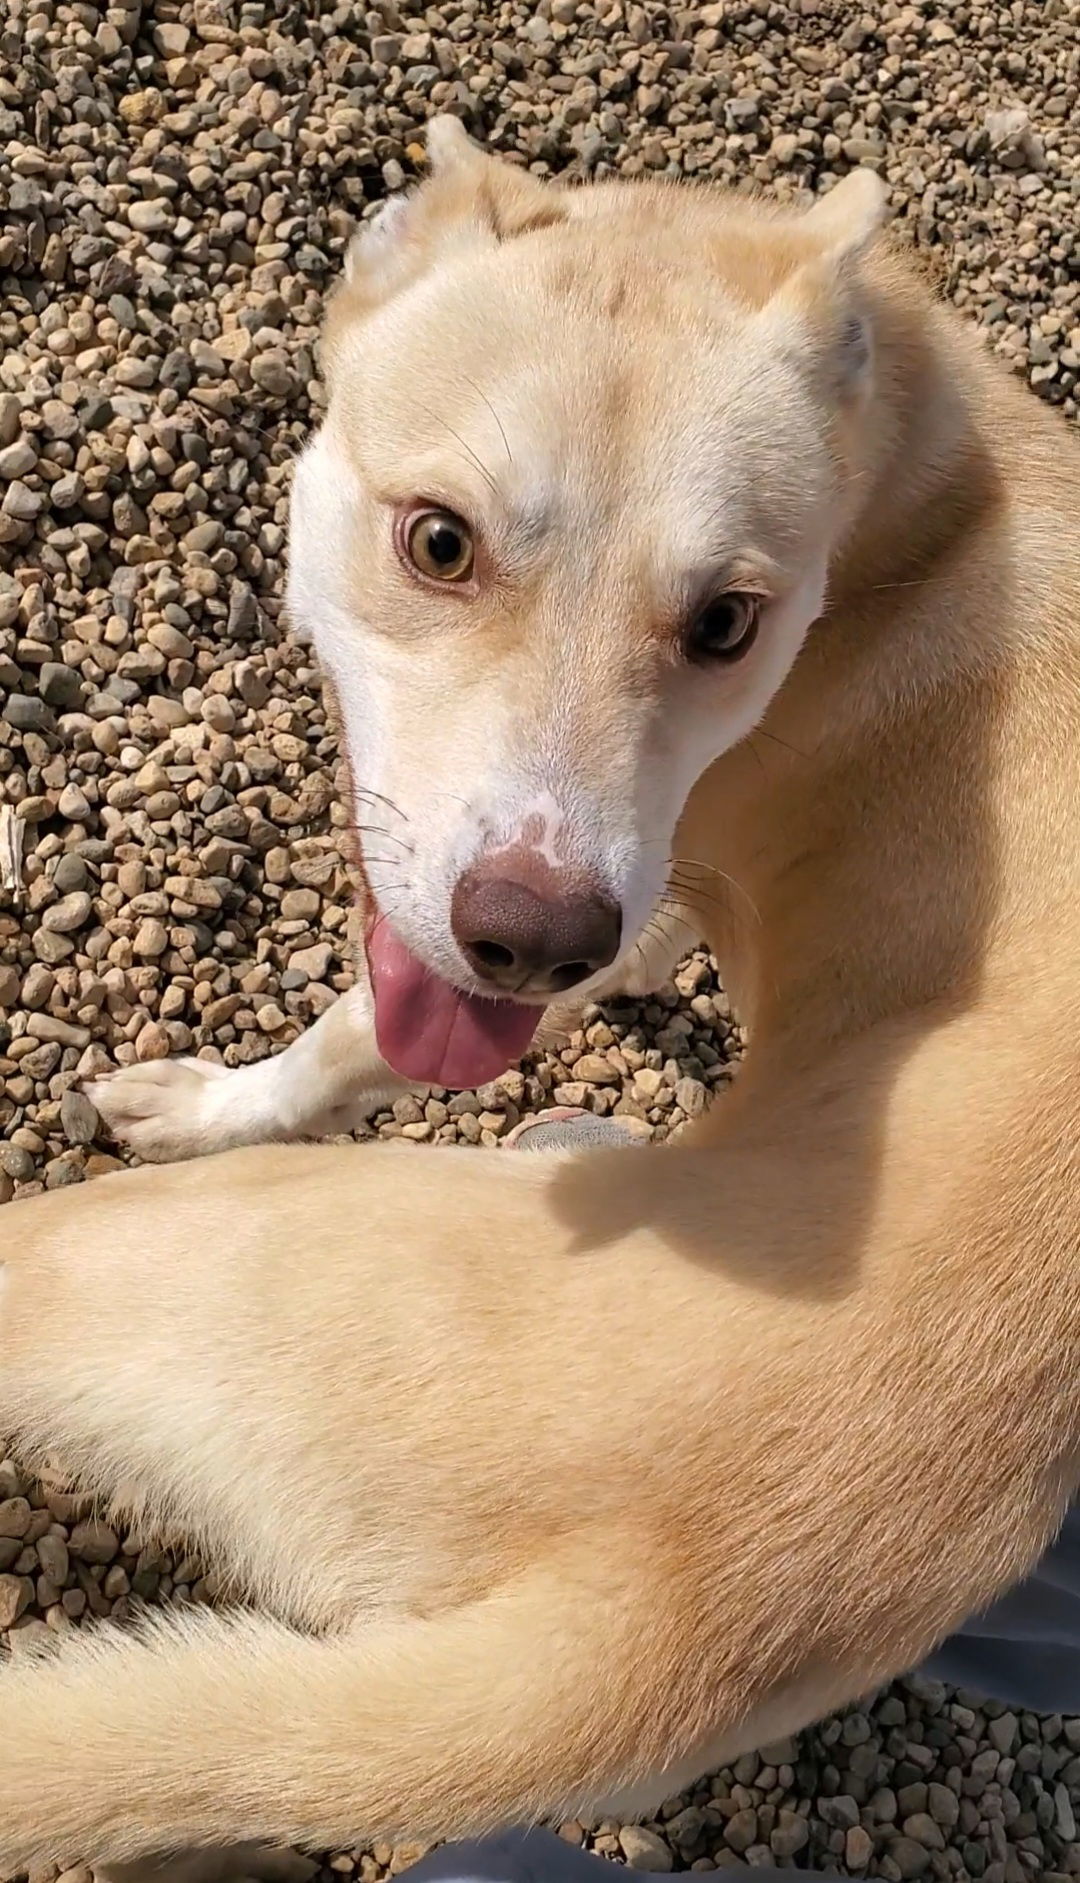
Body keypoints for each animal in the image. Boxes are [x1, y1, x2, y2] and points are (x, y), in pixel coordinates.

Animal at [2, 125, 1080, 1883]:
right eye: (438, 541)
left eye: (727, 621)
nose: (532, 940)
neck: (910, 470)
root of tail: (660, 1624)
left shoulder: (610, 908)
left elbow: (347, 1035)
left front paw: (212, 1092)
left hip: (132, 1260)